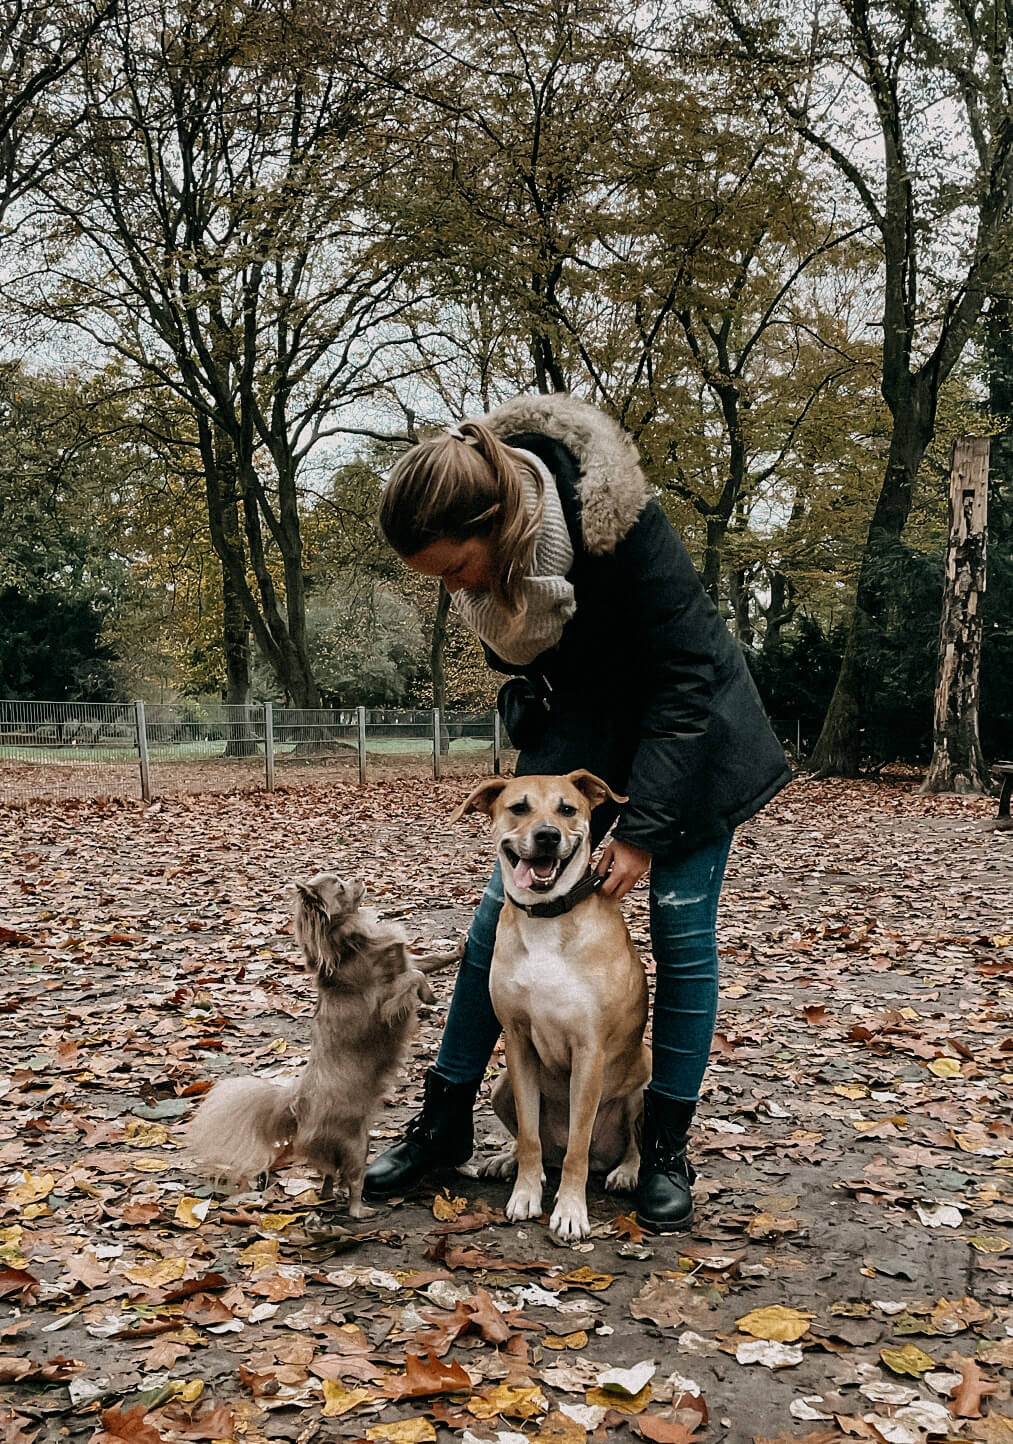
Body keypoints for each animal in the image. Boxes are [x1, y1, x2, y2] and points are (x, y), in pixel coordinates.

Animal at [186, 866, 461, 1218]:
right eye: (341, 886)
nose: (359, 876)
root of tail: (297, 1103)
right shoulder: (387, 1005)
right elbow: (416, 978)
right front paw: (429, 995)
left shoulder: (407, 960)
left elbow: (428, 961)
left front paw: (460, 949)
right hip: (356, 1145)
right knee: (352, 1183)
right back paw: (362, 1210)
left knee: (329, 1178)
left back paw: (329, 1196)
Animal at [453, 768, 652, 1241]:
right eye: (518, 807)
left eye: (567, 809)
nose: (547, 836)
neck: (547, 917)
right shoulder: (518, 1043)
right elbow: (529, 1135)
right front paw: (526, 1192)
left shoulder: (589, 1052)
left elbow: (577, 1147)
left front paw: (571, 1211)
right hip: (503, 1085)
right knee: (542, 1147)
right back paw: (509, 1160)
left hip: (644, 1082)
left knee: (623, 1146)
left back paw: (626, 1171)